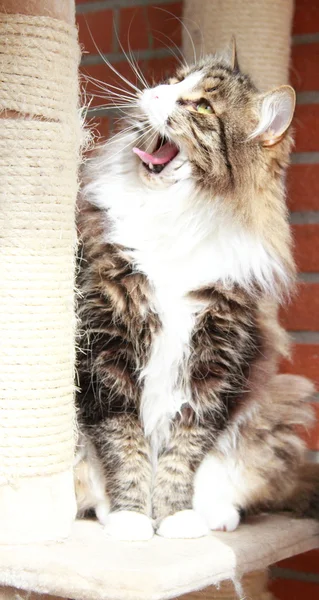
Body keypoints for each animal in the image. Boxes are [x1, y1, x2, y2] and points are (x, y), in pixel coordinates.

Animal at [75, 42, 319, 540]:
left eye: (202, 106)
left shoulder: (214, 365)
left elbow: (182, 454)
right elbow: (123, 446)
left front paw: (176, 518)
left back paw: (215, 516)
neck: (173, 214)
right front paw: (131, 518)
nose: (152, 91)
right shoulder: (106, 353)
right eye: (173, 81)